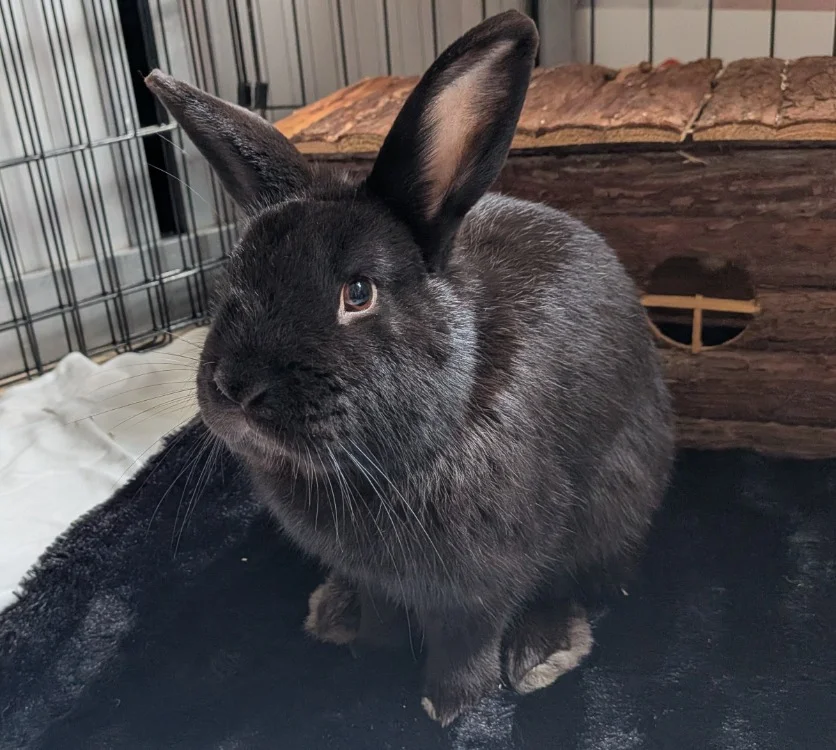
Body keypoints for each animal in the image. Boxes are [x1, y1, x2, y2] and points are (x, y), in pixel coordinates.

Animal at [145, 9, 674, 727]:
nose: (236, 388)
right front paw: (369, 646)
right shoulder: (380, 574)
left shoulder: (485, 577)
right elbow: (381, 608)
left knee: (591, 582)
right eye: (235, 280)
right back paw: (334, 612)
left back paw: (543, 650)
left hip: (617, 502)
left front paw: (448, 704)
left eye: (358, 292)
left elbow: (469, 636)